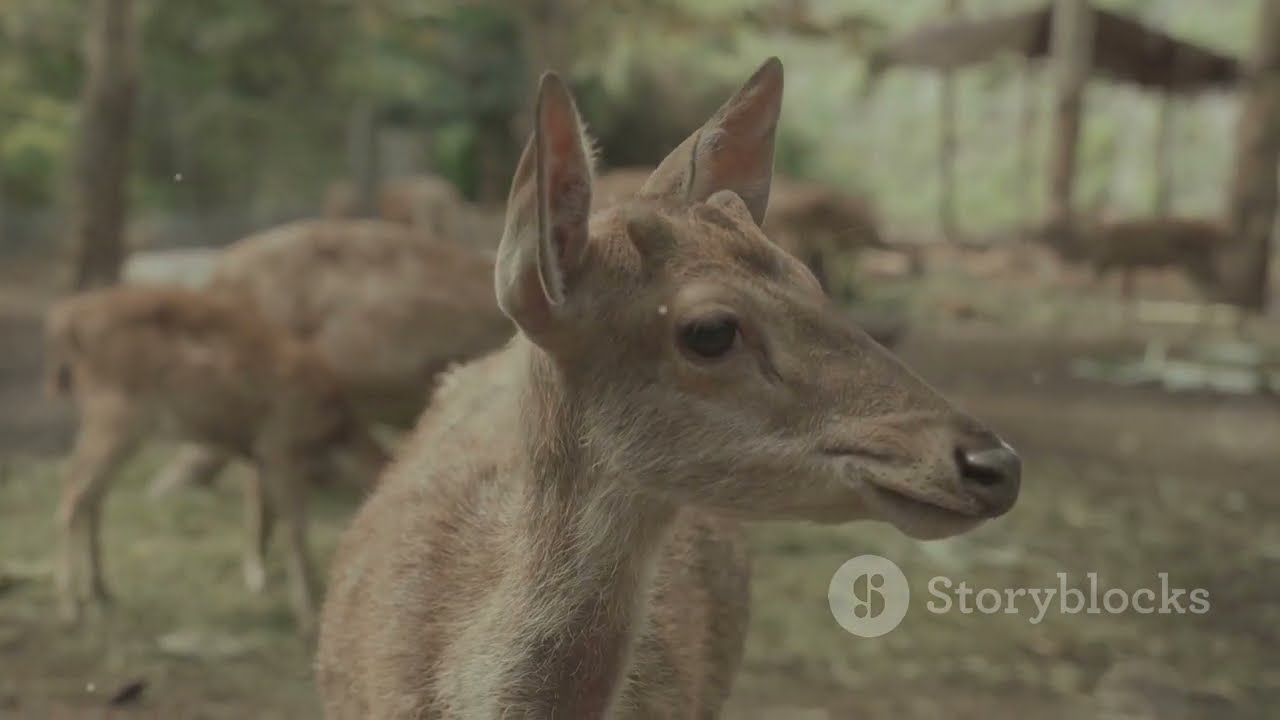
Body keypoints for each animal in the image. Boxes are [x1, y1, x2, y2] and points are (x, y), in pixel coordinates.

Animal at [45, 284, 389, 637]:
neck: (335, 430)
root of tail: (65, 320)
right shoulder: (278, 444)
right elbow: (294, 527)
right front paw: (306, 616)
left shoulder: (263, 456)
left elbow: (266, 515)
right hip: (112, 415)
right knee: (73, 495)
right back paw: (71, 608)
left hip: (120, 426)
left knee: (93, 498)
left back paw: (102, 592)